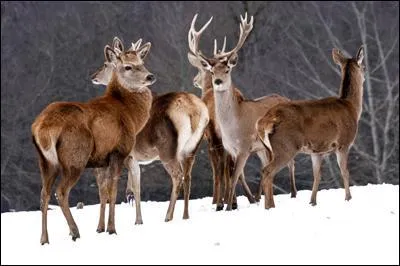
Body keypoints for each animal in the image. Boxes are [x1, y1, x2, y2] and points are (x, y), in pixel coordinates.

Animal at [31, 40, 155, 244]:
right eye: (128, 66)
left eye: (142, 63)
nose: (150, 76)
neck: (131, 115)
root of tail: (43, 127)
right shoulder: (118, 151)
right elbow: (112, 191)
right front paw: (111, 229)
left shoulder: (101, 160)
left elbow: (103, 192)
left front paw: (101, 228)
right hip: (75, 156)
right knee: (61, 191)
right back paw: (74, 231)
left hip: (45, 161)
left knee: (44, 194)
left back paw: (44, 239)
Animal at [90, 36, 209, 222]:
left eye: (105, 64)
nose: (94, 76)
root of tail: (194, 111)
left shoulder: (130, 155)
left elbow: (136, 187)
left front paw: (138, 220)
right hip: (191, 148)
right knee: (188, 177)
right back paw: (185, 215)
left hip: (167, 149)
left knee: (177, 176)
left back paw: (168, 216)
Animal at [188, 13, 296, 211]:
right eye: (212, 71)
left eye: (227, 69)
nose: (218, 82)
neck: (234, 124)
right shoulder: (230, 148)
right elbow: (232, 175)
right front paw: (230, 204)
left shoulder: (243, 148)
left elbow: (232, 175)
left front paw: (227, 205)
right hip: (264, 148)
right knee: (269, 168)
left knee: (289, 163)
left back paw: (289, 194)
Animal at [260, 45, 366, 209]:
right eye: (364, 67)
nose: (365, 76)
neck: (352, 108)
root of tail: (266, 121)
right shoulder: (343, 143)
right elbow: (345, 171)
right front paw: (348, 198)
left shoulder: (317, 151)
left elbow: (317, 175)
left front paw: (312, 201)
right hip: (285, 146)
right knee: (267, 171)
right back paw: (270, 207)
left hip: (268, 149)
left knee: (266, 171)